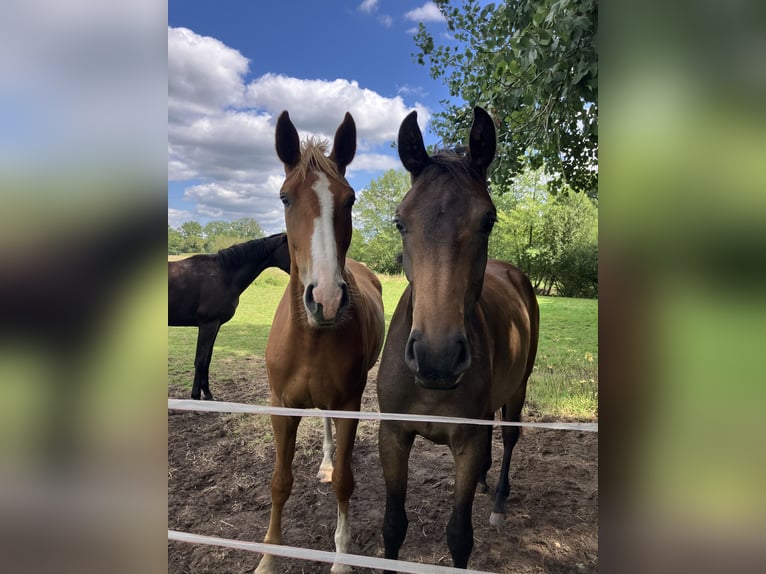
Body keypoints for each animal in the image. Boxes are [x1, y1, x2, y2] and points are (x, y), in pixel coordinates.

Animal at [168, 234, 292, 400]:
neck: (224, 275)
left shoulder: (215, 325)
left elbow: (207, 359)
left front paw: (207, 393)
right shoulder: (208, 325)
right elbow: (200, 360)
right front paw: (195, 396)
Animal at [258, 112, 388, 574]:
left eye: (349, 200)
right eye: (285, 198)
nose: (327, 299)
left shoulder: (349, 404)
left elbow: (345, 485)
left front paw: (342, 559)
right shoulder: (281, 406)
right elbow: (280, 482)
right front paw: (268, 559)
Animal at [378, 108, 540, 572]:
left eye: (488, 220)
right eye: (400, 221)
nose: (438, 357)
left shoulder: (466, 441)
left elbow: (459, 536)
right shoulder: (392, 436)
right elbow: (393, 526)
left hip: (518, 390)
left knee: (509, 439)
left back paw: (499, 499)